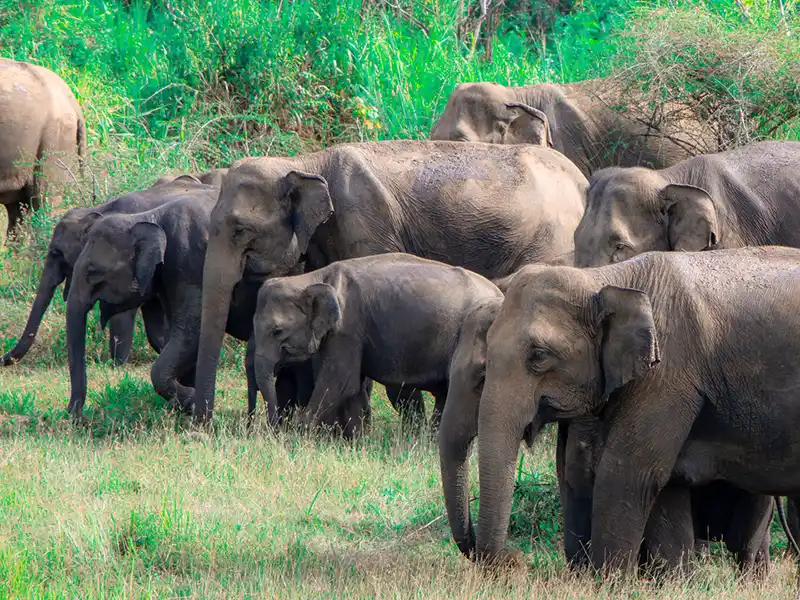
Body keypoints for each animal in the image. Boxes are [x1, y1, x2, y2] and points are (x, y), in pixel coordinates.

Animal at [1, 175, 210, 367]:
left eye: (56, 253)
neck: (98, 210)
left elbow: (123, 313)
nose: (4, 360)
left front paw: (116, 366)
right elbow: (153, 320)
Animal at [252, 253, 503, 433]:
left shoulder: (348, 327)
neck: (313, 277)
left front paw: (297, 436)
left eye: (277, 331)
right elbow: (352, 386)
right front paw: (357, 443)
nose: (274, 431)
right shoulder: (345, 334)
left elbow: (340, 381)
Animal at [474, 246, 800, 572]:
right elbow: (666, 483)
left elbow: (627, 473)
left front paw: (608, 578)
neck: (605, 279)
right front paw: (673, 577)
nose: (512, 561)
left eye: (539, 356)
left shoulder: (666, 375)